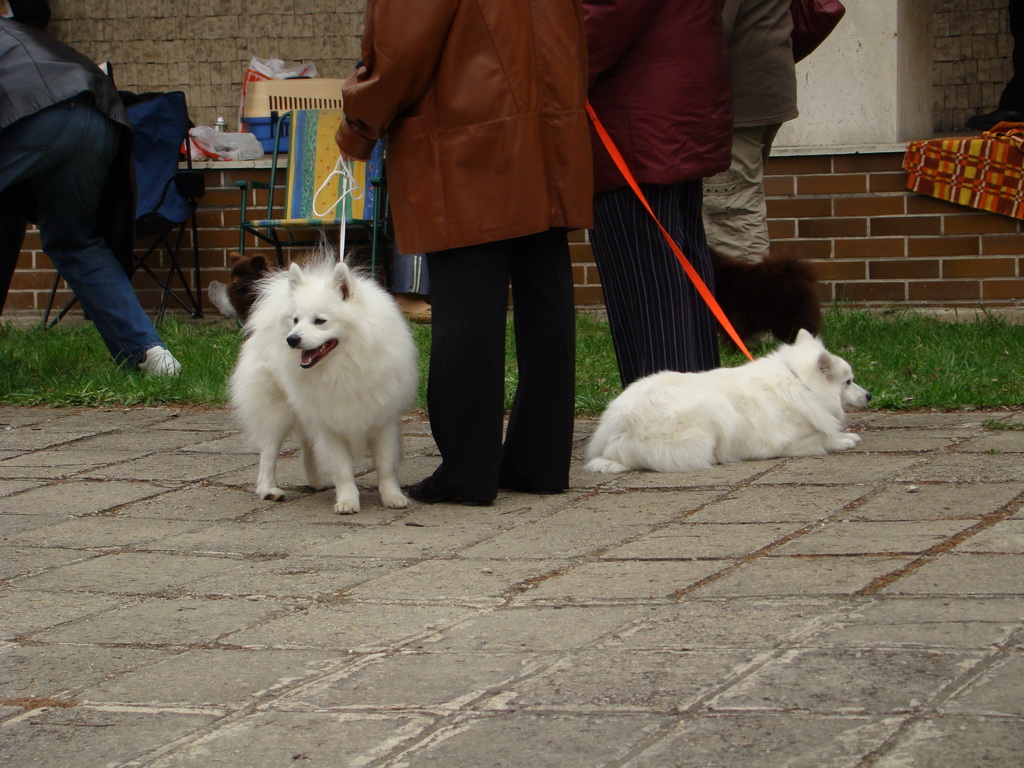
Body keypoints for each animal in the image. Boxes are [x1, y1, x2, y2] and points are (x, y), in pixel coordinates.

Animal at [230, 253, 417, 518]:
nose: (291, 339)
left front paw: (393, 496)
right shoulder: (330, 424)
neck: (344, 366)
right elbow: (342, 468)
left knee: (307, 447)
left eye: (320, 321)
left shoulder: (383, 420)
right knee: (268, 451)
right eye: (296, 320)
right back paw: (268, 489)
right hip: (276, 411)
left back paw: (317, 482)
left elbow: (386, 465)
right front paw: (347, 501)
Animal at [589, 331, 868, 475]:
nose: (869, 396)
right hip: (713, 412)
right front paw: (841, 441)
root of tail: (618, 432)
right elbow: (820, 437)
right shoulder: (791, 440)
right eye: (848, 381)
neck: (800, 383)